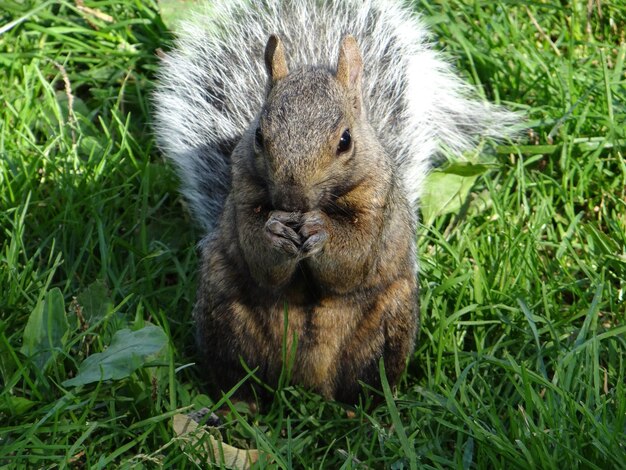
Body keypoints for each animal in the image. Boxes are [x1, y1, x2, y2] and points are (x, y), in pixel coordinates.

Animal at [152, 0, 516, 404]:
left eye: (345, 140)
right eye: (259, 135)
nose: (291, 199)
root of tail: (306, 381)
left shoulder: (378, 203)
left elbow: (352, 261)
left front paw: (322, 230)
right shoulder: (242, 193)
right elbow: (260, 262)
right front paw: (273, 232)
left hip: (389, 321)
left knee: (368, 382)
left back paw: (363, 410)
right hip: (224, 311)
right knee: (239, 377)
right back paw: (240, 406)